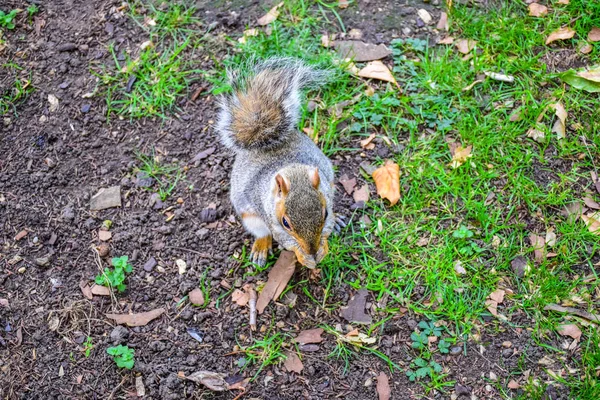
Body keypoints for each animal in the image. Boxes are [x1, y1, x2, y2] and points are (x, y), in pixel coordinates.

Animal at [218, 57, 344, 268]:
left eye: (325, 213)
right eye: (285, 222)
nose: (311, 250)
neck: (292, 169)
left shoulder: (327, 193)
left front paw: (323, 248)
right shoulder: (270, 217)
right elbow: (285, 240)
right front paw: (303, 256)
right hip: (250, 217)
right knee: (262, 233)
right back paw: (261, 248)